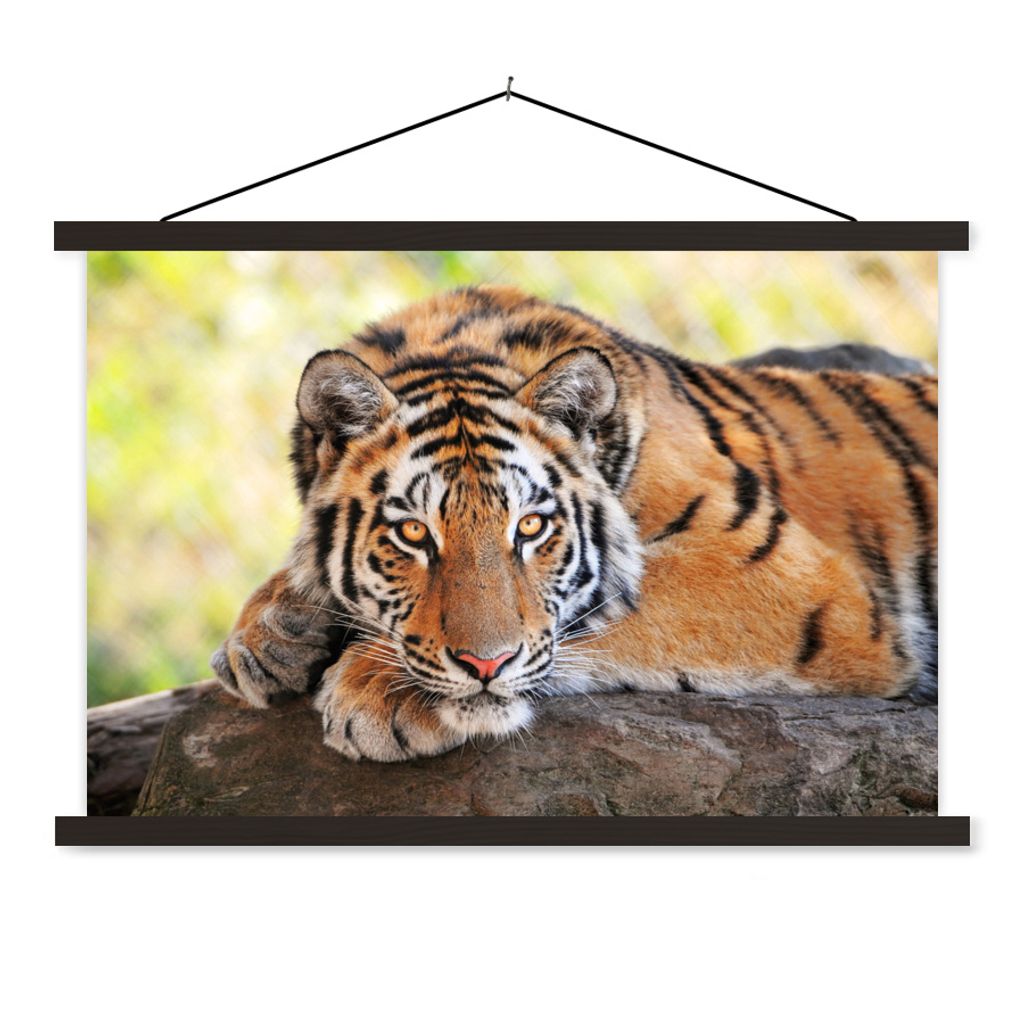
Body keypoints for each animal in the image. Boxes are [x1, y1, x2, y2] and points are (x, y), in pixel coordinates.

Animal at [211, 285, 938, 763]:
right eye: (414, 534)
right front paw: (270, 634)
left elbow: (596, 609)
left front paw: (377, 690)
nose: (485, 664)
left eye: (531, 528)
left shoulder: (792, 577)